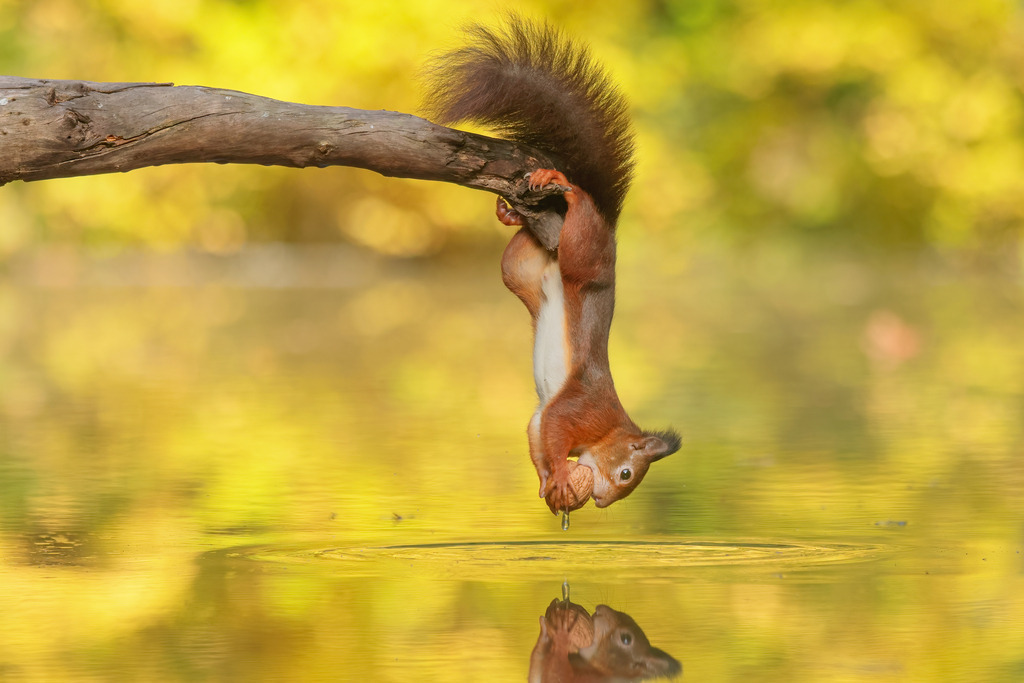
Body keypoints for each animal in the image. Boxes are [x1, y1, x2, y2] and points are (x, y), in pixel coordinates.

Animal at [426, 16, 681, 514]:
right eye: (626, 473)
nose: (603, 503)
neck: (609, 427)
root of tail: (610, 228)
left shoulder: (540, 417)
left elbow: (538, 437)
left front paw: (550, 482)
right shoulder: (580, 408)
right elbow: (558, 430)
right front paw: (564, 474)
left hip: (523, 269)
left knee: (523, 250)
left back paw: (514, 214)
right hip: (586, 253)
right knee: (579, 206)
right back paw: (562, 184)